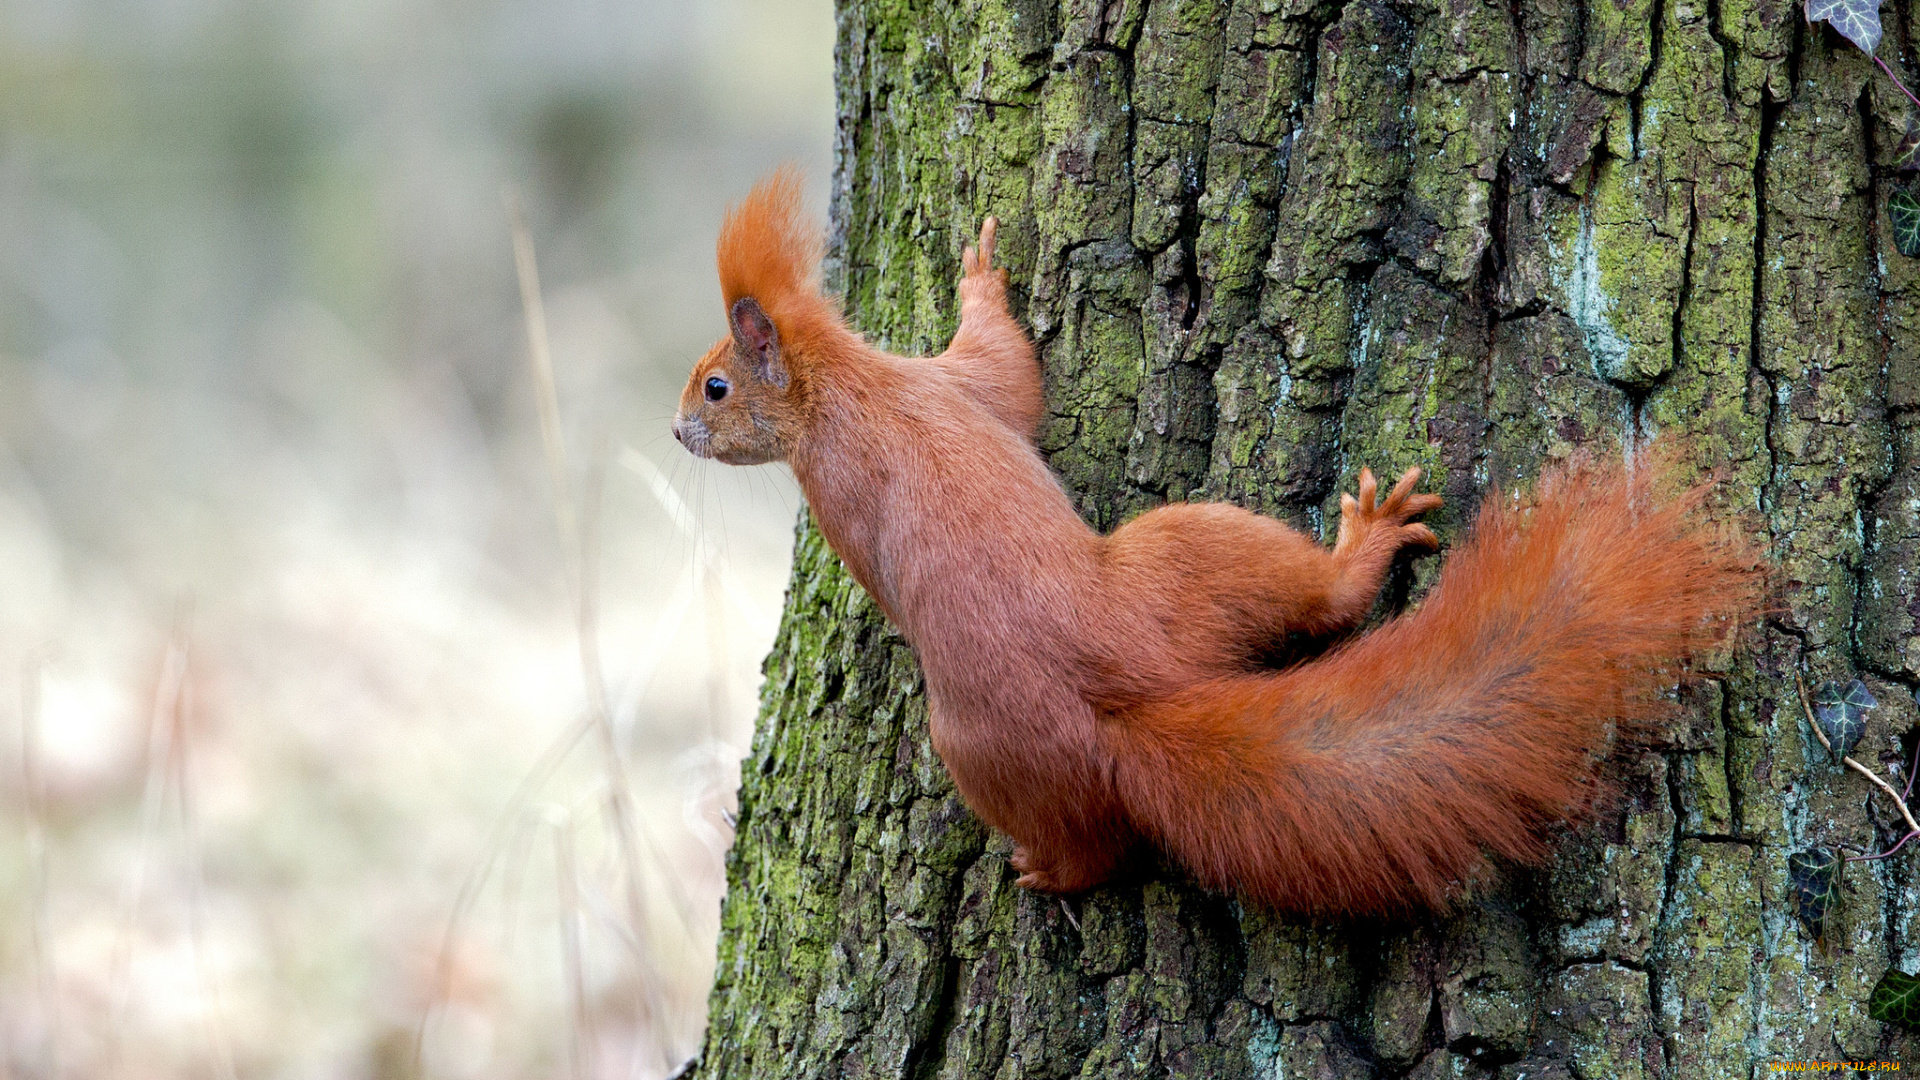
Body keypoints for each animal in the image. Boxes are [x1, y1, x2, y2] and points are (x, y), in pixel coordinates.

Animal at [675, 171, 1766, 910]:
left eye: (715, 384)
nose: (680, 433)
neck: (838, 394)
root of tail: (1137, 697)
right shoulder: (935, 403)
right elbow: (1006, 377)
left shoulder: (934, 392)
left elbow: (1004, 366)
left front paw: (978, 273)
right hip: (1173, 569)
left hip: (1162, 580)